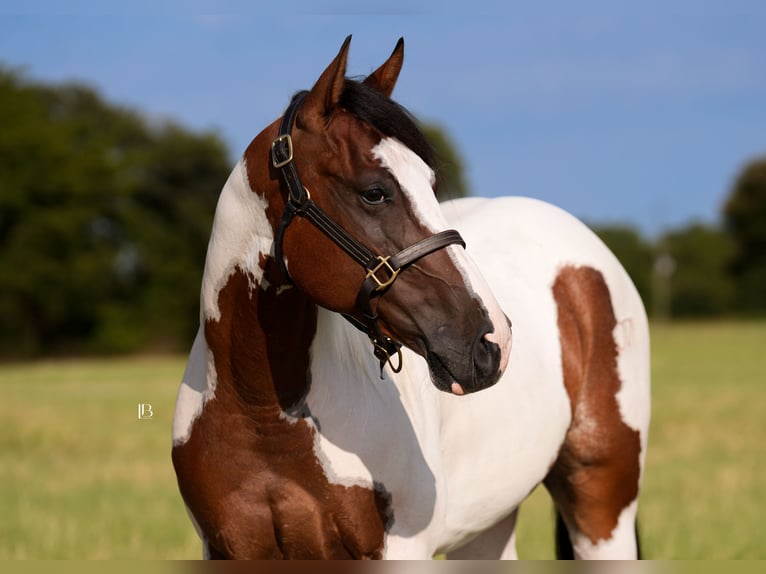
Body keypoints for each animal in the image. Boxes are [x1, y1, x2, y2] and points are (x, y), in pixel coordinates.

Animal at [171, 36, 650, 560]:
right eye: (374, 192)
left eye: (431, 183)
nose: (492, 342)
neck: (262, 415)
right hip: (489, 525)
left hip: (603, 505)